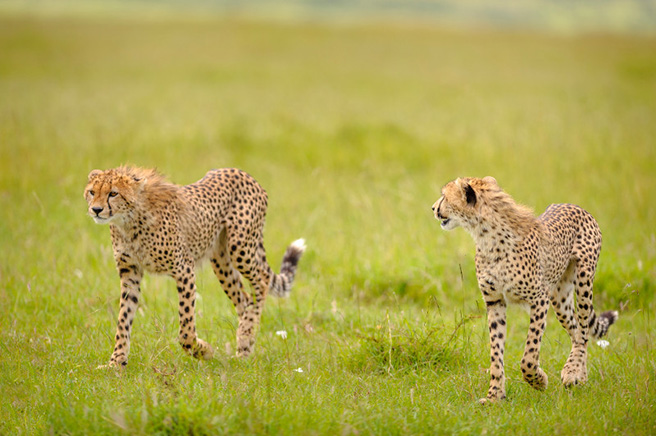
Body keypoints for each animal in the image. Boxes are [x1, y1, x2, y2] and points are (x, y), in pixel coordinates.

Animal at [84, 167, 304, 368]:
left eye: (113, 193)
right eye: (92, 192)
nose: (96, 210)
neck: (129, 221)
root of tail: (241, 172)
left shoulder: (184, 269)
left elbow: (186, 327)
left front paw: (203, 351)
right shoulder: (130, 273)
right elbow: (123, 319)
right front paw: (116, 362)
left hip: (240, 246)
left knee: (262, 281)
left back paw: (245, 334)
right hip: (220, 260)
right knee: (245, 299)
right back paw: (244, 348)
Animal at [434, 176, 616, 402]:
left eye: (444, 196)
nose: (433, 208)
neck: (486, 236)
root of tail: (572, 205)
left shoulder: (539, 300)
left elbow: (529, 354)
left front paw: (538, 381)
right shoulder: (495, 302)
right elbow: (496, 353)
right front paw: (495, 396)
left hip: (583, 281)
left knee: (582, 330)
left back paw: (572, 372)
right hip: (560, 297)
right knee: (576, 331)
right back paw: (579, 376)